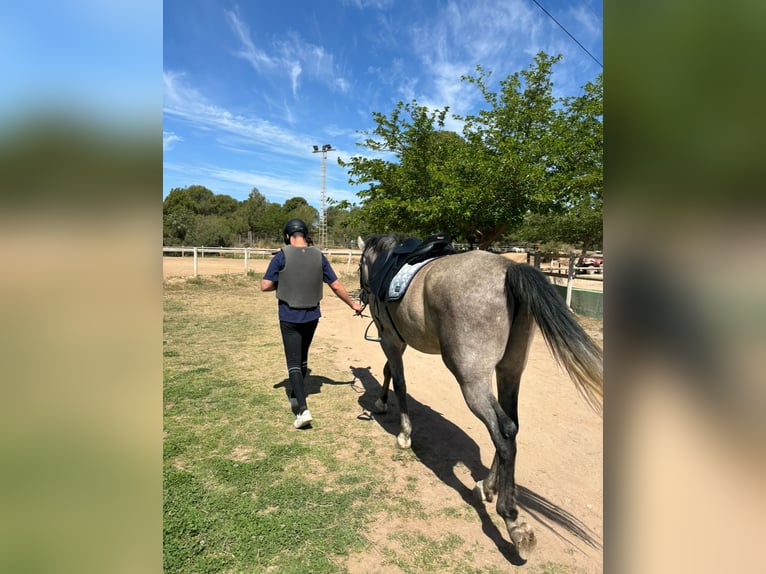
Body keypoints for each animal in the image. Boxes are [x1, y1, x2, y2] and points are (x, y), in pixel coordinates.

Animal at [360, 235, 608, 564]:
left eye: (361, 265)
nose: (361, 295)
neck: (386, 263)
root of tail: (508, 270)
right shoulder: (395, 341)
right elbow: (390, 371)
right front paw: (382, 404)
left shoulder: (390, 338)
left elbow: (397, 379)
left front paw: (402, 431)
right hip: (510, 371)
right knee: (511, 427)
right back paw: (488, 487)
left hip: (472, 380)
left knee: (502, 431)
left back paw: (512, 520)